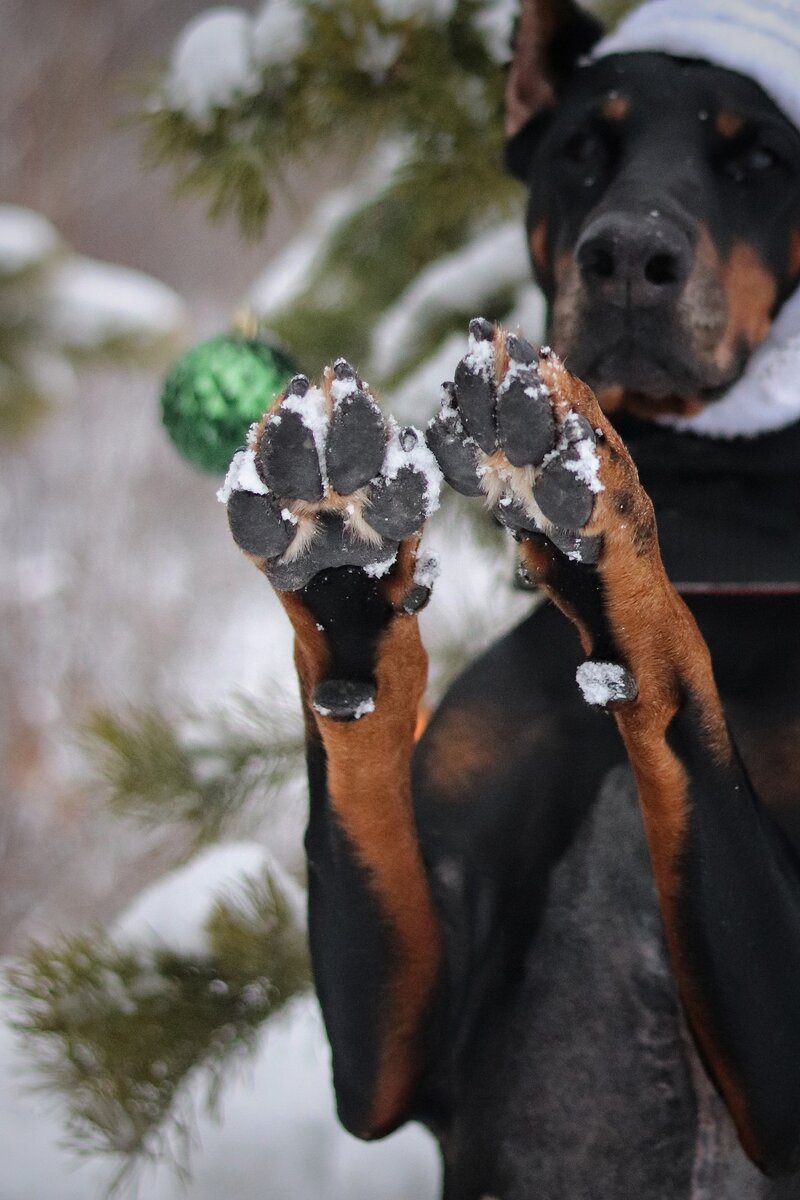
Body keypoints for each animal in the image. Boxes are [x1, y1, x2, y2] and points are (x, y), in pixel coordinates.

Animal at [221, 0, 800, 1195]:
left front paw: (586, 507)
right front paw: (341, 566)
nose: (625, 259)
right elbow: (361, 791)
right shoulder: (393, 1060)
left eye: (760, 158)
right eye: (583, 145)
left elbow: (674, 670)